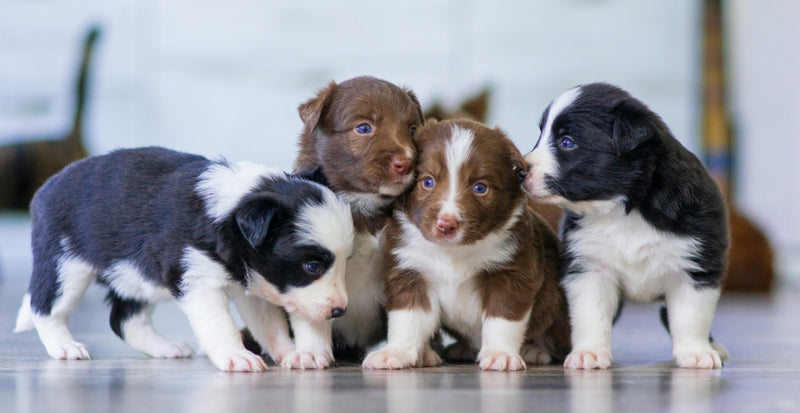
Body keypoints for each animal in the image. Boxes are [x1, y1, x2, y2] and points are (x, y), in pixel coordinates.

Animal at [13, 147, 354, 370]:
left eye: (346, 262)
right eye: (312, 266)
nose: (340, 311)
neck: (232, 210)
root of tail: (46, 187)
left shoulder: (254, 284)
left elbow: (270, 324)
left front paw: (292, 353)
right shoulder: (199, 282)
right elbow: (221, 324)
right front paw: (237, 357)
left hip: (135, 275)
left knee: (124, 319)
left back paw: (165, 348)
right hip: (65, 264)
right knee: (46, 307)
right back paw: (65, 347)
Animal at [362, 118, 568, 370]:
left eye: (480, 188)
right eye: (427, 182)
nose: (446, 225)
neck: (453, 251)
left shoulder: (511, 272)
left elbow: (502, 319)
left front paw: (499, 354)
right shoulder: (410, 271)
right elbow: (407, 318)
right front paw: (395, 352)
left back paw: (535, 350)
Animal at [524, 82, 732, 368]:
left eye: (567, 142)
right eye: (540, 135)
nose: (520, 169)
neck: (622, 210)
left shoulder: (695, 266)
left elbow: (690, 316)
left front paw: (695, 352)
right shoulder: (590, 267)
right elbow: (590, 315)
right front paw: (589, 353)